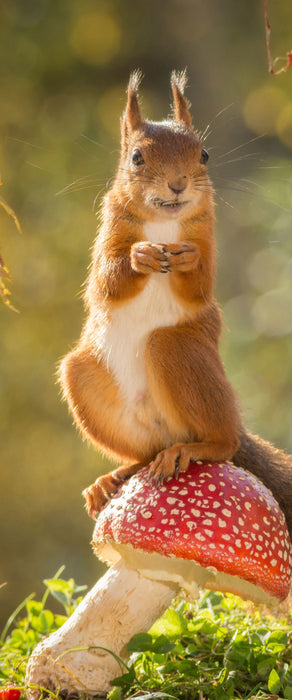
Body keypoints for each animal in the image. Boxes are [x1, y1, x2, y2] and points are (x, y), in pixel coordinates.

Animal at [58, 71, 292, 540]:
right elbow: (105, 283)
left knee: (223, 442)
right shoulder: (107, 234)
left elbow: (199, 286)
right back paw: (114, 477)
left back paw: (194, 448)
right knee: (146, 454)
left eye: (203, 154)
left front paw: (186, 261)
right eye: (136, 158)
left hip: (179, 350)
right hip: (84, 380)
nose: (179, 183)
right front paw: (139, 258)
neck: (163, 224)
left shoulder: (208, 235)